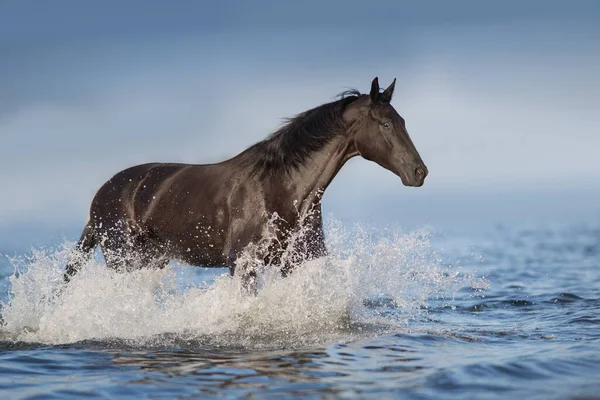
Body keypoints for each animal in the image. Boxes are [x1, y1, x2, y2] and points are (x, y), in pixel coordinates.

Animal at [64, 76, 426, 288]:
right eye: (384, 124)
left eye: (403, 121)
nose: (419, 172)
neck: (283, 190)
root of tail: (101, 197)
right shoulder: (243, 263)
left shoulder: (296, 262)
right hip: (124, 260)